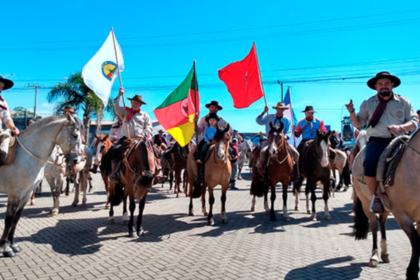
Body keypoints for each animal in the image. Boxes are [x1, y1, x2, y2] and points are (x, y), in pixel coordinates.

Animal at [0, 115, 83, 258]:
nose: (77, 160)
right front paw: (6, 248)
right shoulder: (15, 194)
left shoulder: (26, 194)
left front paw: (13, 245)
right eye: (75, 135)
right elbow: (9, 220)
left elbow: (16, 219)